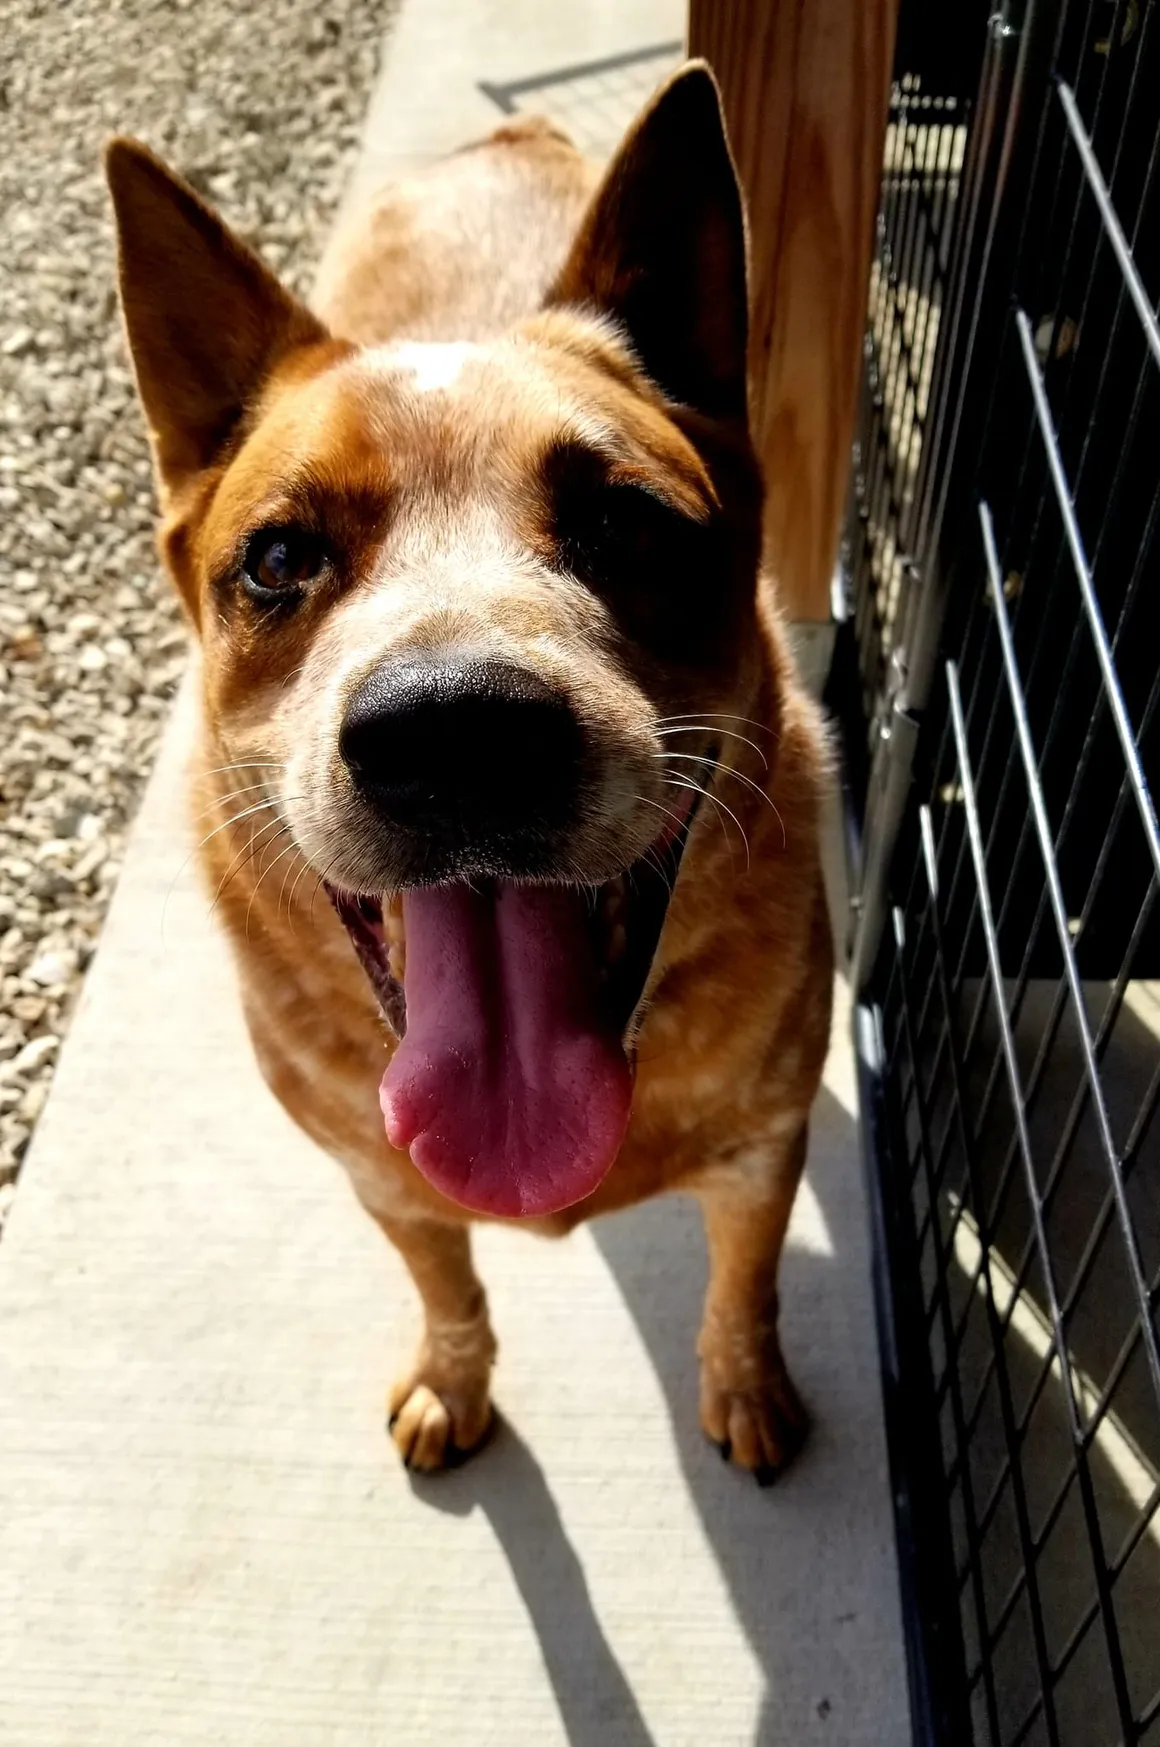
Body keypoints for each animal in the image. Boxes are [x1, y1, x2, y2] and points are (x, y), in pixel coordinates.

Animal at [106, 71, 835, 1488]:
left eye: (626, 521)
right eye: (278, 557)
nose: (454, 734)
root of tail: (503, 134)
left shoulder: (761, 1149)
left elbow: (746, 1285)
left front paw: (746, 1385)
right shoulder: (380, 1177)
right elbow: (446, 1287)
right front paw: (453, 1382)